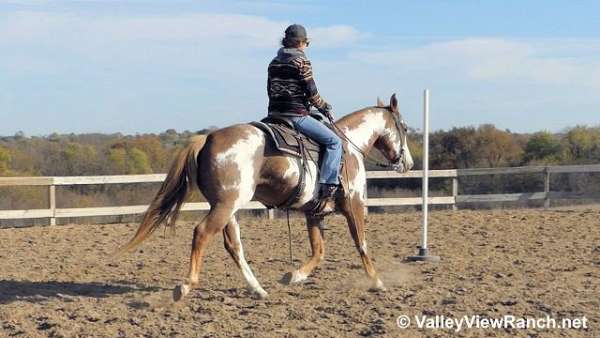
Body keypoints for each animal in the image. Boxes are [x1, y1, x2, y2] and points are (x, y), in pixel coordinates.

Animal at [119, 93, 414, 302]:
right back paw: (186, 285)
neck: (348, 146)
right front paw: (377, 282)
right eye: (404, 127)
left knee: (234, 246)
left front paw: (293, 276)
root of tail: (208, 138)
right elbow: (361, 243)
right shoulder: (354, 204)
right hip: (226, 205)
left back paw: (258, 289)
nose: (408, 163)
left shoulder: (314, 212)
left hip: (228, 208)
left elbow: (319, 251)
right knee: (202, 233)